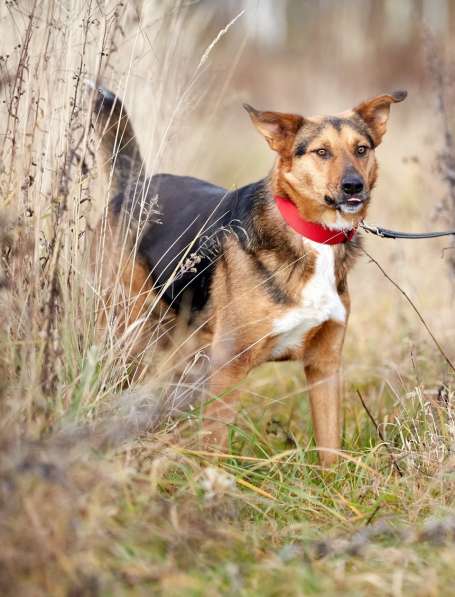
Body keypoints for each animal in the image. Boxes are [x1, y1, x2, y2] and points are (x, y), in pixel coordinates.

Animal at [91, 85, 408, 466]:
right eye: (322, 152)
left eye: (361, 149)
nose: (353, 186)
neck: (312, 236)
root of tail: (135, 186)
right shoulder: (229, 366)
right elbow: (214, 446)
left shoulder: (324, 365)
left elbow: (330, 448)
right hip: (129, 332)